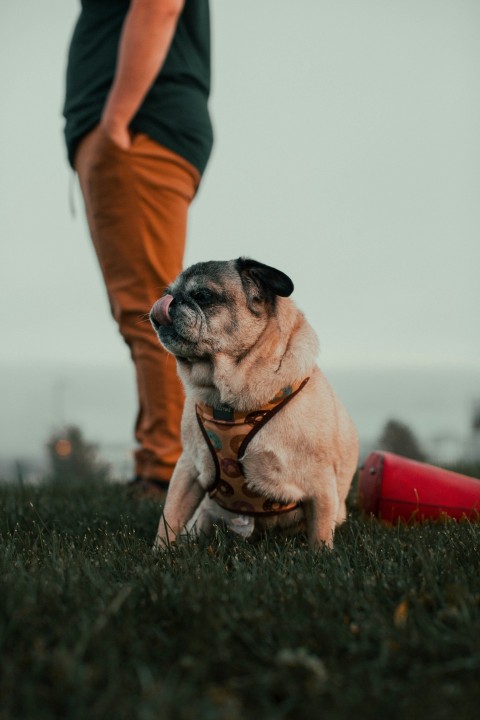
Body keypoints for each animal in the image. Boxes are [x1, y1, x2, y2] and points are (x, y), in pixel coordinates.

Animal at [150, 262, 356, 548]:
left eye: (203, 296)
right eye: (167, 293)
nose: (168, 302)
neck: (229, 400)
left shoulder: (321, 486)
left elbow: (320, 536)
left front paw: (321, 556)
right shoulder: (187, 470)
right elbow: (169, 518)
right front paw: (161, 552)